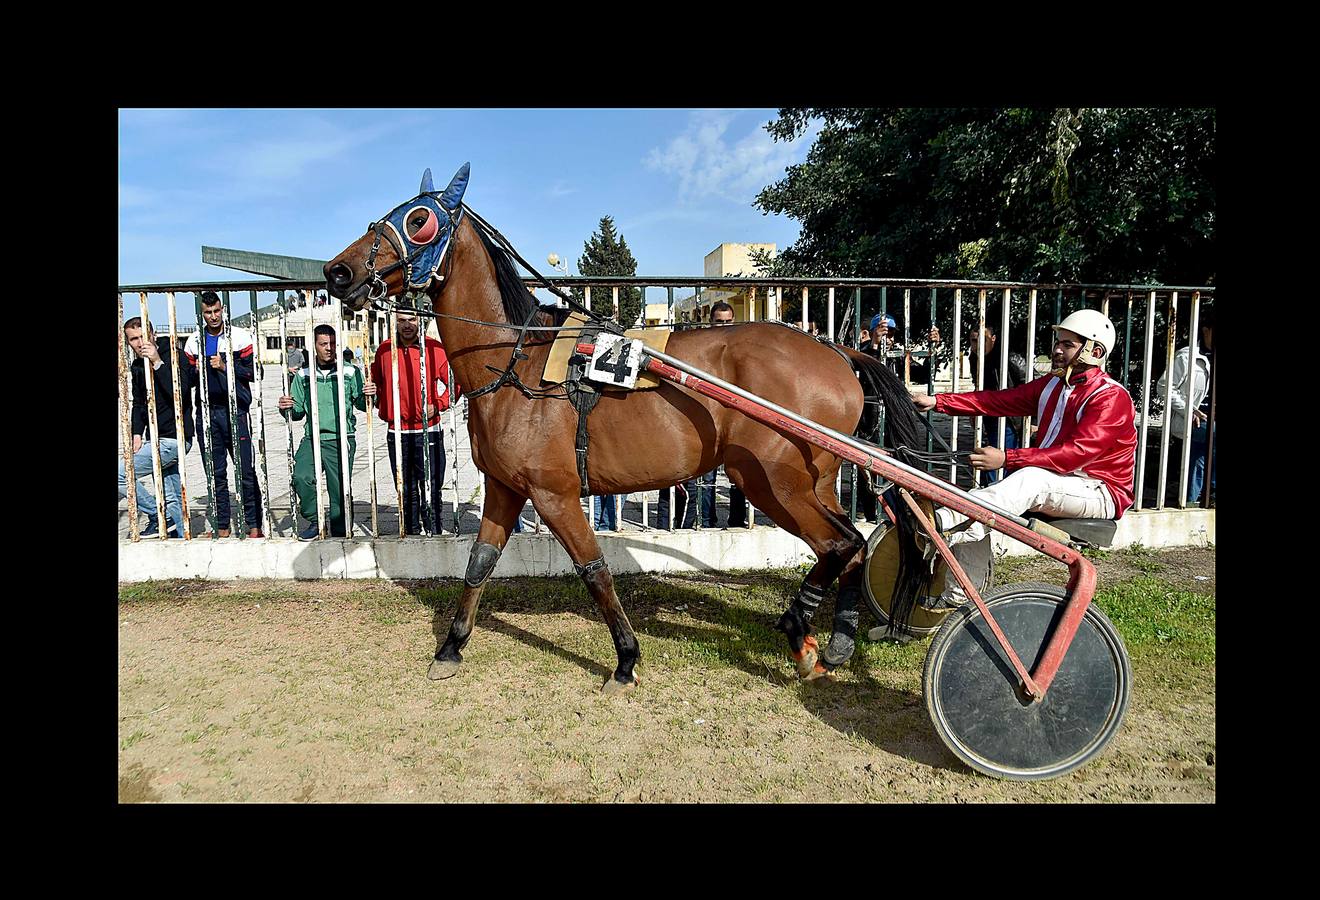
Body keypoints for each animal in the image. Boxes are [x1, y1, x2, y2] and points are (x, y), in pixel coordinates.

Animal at [323, 162, 924, 691]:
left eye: (419, 219)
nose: (337, 271)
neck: (516, 360)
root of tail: (837, 352)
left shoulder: (554, 493)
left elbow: (594, 571)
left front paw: (627, 658)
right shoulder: (504, 487)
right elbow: (479, 564)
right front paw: (450, 646)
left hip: (772, 482)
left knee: (839, 544)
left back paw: (801, 632)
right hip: (812, 481)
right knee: (854, 543)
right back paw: (837, 640)